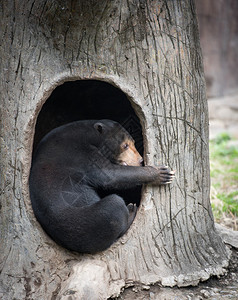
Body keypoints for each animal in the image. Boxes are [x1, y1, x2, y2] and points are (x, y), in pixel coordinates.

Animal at [29, 119, 175, 253]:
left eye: (133, 143)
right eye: (125, 146)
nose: (140, 160)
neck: (89, 134)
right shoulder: (81, 155)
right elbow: (111, 175)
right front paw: (162, 173)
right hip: (93, 220)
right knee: (114, 206)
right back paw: (131, 209)